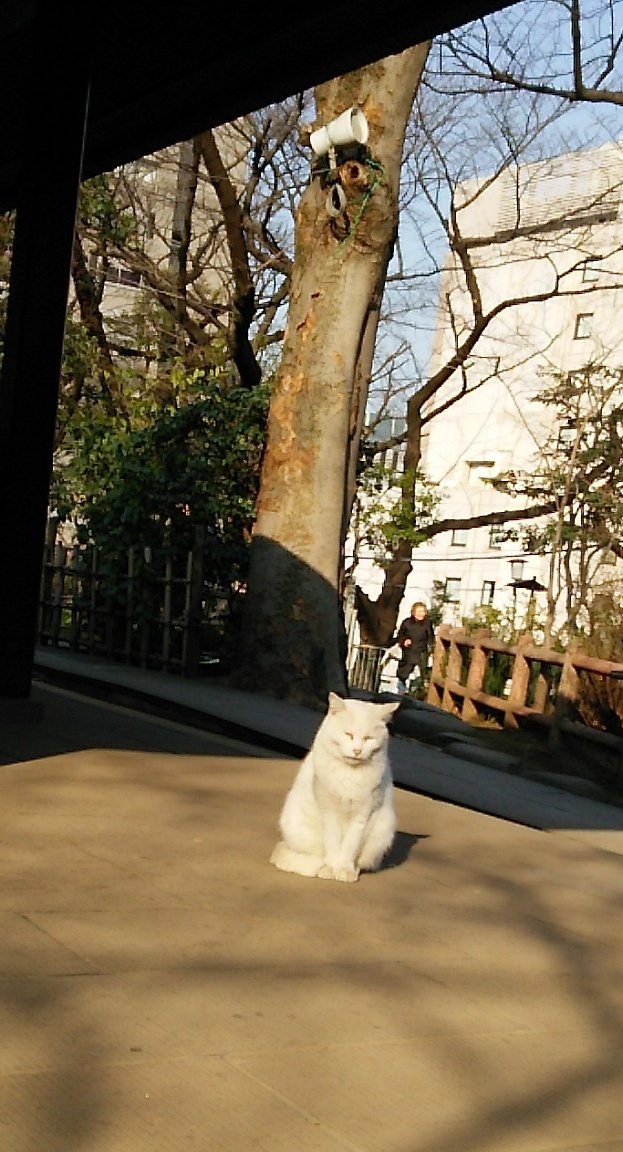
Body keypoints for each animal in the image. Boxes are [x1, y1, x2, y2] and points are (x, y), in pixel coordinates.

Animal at [268, 691, 398, 880]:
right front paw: (330, 868)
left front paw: (344, 870)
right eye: (348, 735)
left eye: (368, 738)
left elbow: (350, 847)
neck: (349, 775)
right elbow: (332, 844)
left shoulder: (363, 816)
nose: (357, 751)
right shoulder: (328, 812)